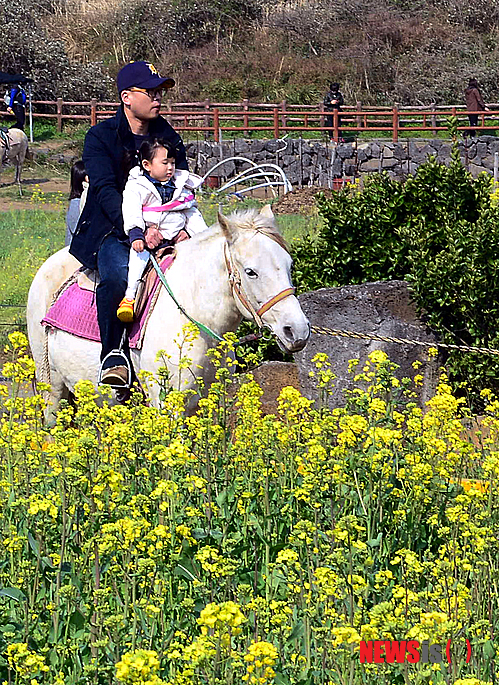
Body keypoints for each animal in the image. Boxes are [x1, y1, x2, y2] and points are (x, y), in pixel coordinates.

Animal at [27, 203, 310, 416]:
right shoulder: (168, 406)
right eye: (251, 272)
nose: (297, 331)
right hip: (51, 385)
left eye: (289, 264)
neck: (196, 316)